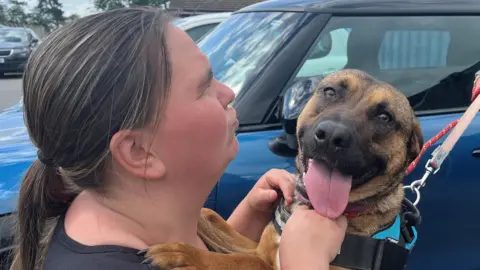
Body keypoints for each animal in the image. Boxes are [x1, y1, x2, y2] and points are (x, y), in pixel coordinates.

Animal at [140, 68, 424, 268]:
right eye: (330, 92)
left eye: (385, 117)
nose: (331, 136)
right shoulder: (260, 248)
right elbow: (212, 216)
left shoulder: (262, 263)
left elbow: (222, 262)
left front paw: (184, 254)